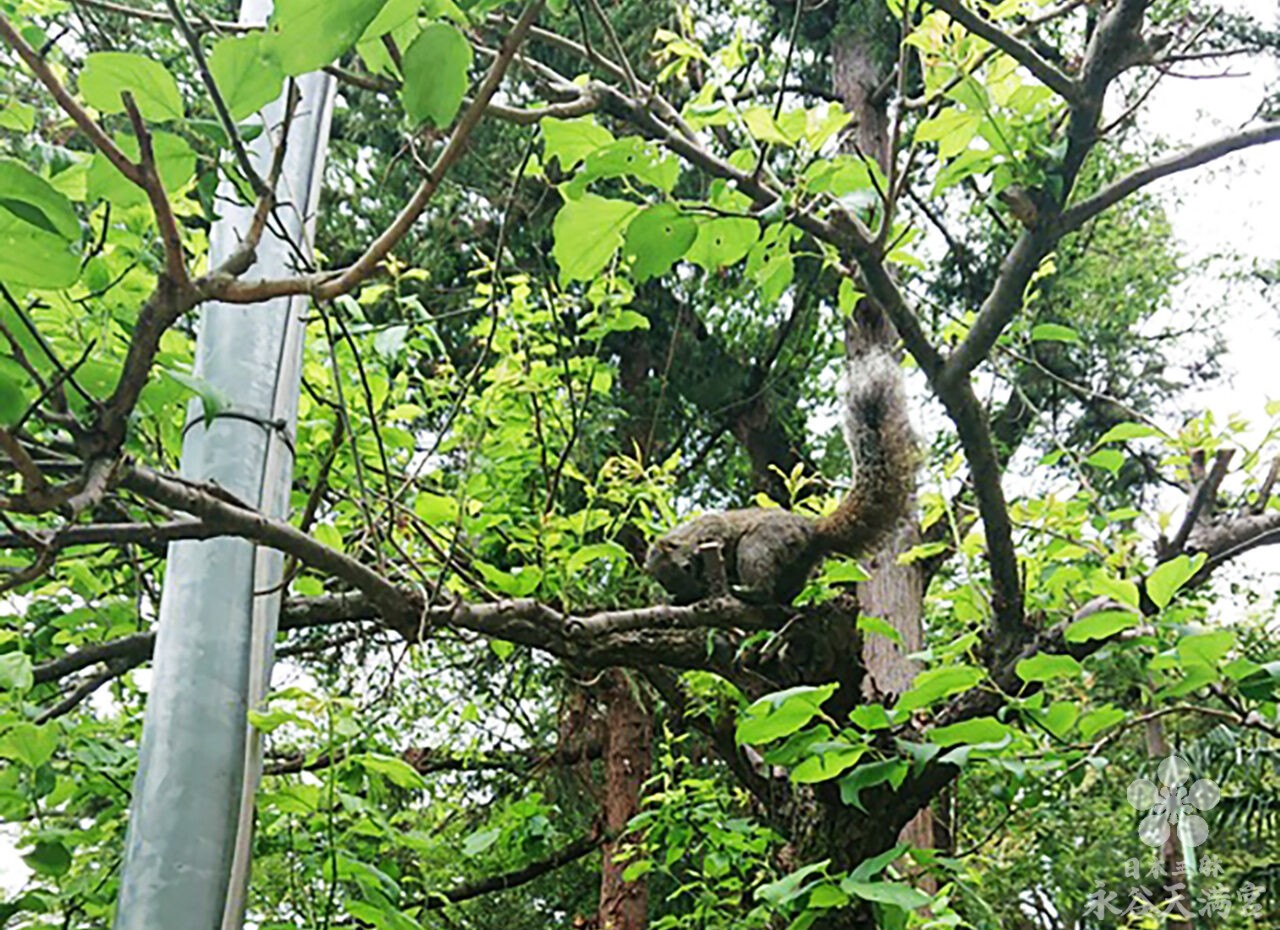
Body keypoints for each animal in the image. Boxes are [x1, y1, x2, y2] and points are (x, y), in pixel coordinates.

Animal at [645, 347, 916, 603]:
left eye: (684, 566)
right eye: (672, 581)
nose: (691, 578)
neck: (686, 538)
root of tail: (813, 530)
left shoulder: (709, 526)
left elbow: (718, 530)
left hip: (760, 545)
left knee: (761, 581)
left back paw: (750, 593)